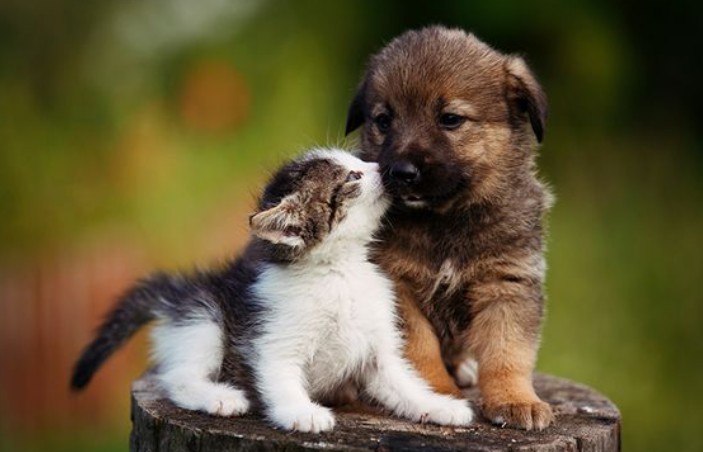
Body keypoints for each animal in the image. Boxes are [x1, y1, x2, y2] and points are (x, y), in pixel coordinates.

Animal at [70, 149, 472, 434]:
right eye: (353, 176)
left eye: (359, 162)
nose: (386, 167)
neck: (338, 271)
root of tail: (183, 291)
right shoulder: (273, 340)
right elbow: (281, 379)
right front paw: (302, 412)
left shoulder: (377, 352)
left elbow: (404, 383)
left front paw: (439, 406)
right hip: (203, 320)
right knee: (178, 378)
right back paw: (220, 398)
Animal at [346, 25, 556, 430]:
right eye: (384, 120)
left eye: (450, 119)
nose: (402, 172)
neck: (445, 220)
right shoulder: (397, 286)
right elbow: (419, 348)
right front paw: (434, 394)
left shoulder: (507, 283)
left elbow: (508, 351)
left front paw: (515, 400)